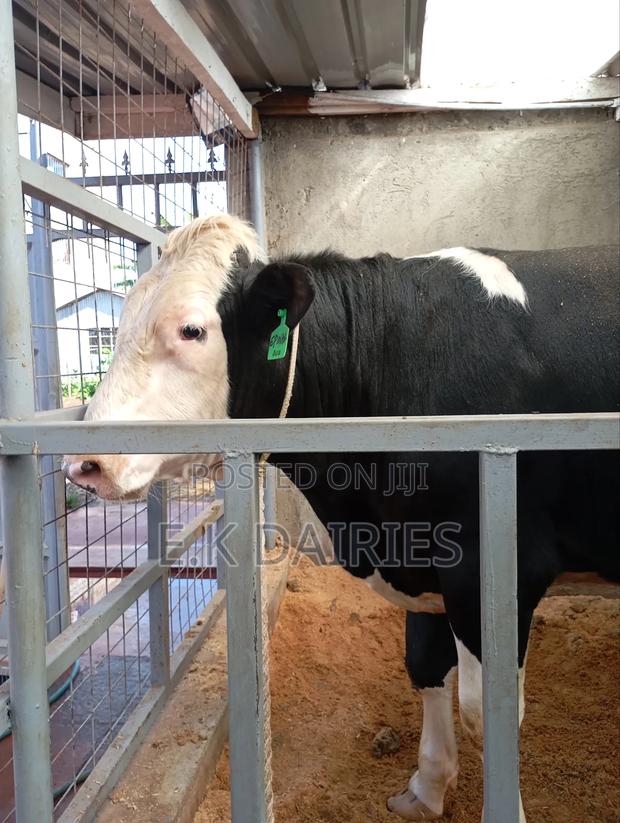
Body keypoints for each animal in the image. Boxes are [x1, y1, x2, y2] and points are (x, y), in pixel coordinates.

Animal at [64, 215, 620, 822]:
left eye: (191, 330)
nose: (83, 464)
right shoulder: (422, 550)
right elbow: (423, 663)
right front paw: (425, 788)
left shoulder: (495, 565)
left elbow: (488, 710)